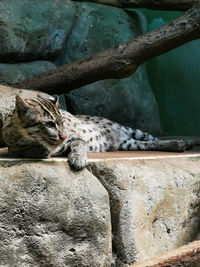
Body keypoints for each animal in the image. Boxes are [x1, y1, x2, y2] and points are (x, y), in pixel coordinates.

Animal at [2, 95, 188, 171]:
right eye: (49, 124)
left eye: (62, 123)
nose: (62, 135)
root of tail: (117, 137)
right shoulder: (12, 146)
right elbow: (22, 150)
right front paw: (38, 150)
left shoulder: (74, 137)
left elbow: (80, 143)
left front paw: (78, 159)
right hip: (127, 144)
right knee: (145, 145)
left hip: (131, 130)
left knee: (152, 138)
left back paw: (181, 143)